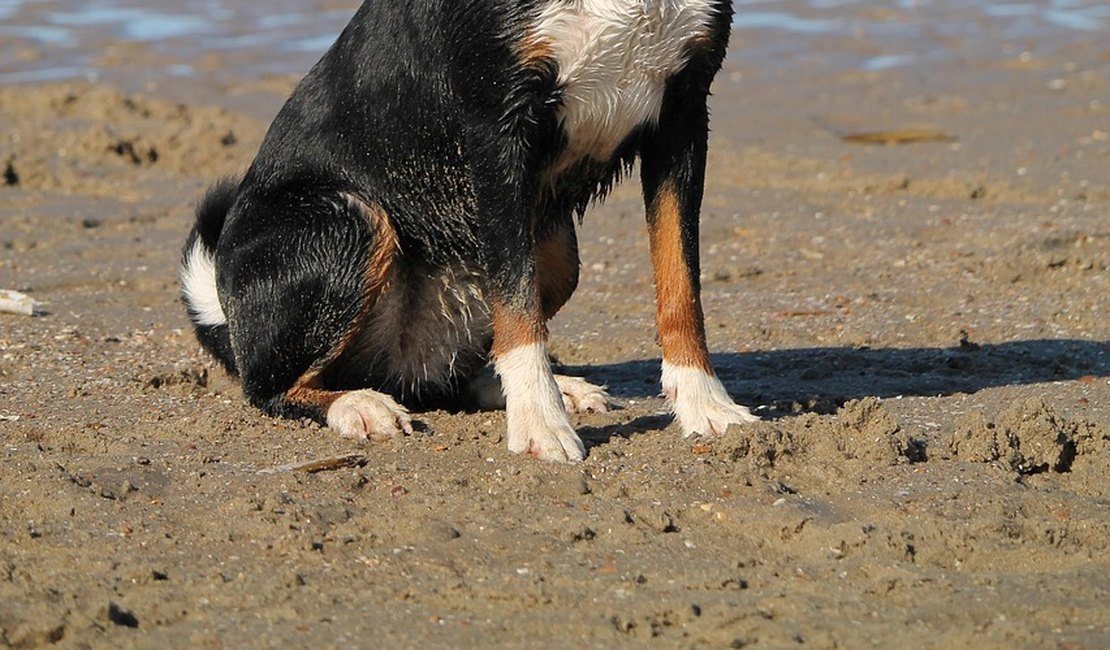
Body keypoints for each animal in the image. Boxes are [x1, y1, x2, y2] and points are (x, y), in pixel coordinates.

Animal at [182, 0, 759, 461]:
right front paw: (540, 424)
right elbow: (518, 310)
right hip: (349, 218)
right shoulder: (497, 132)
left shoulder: (683, 115)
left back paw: (554, 390)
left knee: (458, 376)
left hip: (557, 254)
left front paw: (705, 405)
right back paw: (358, 406)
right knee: (269, 387)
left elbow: (681, 286)